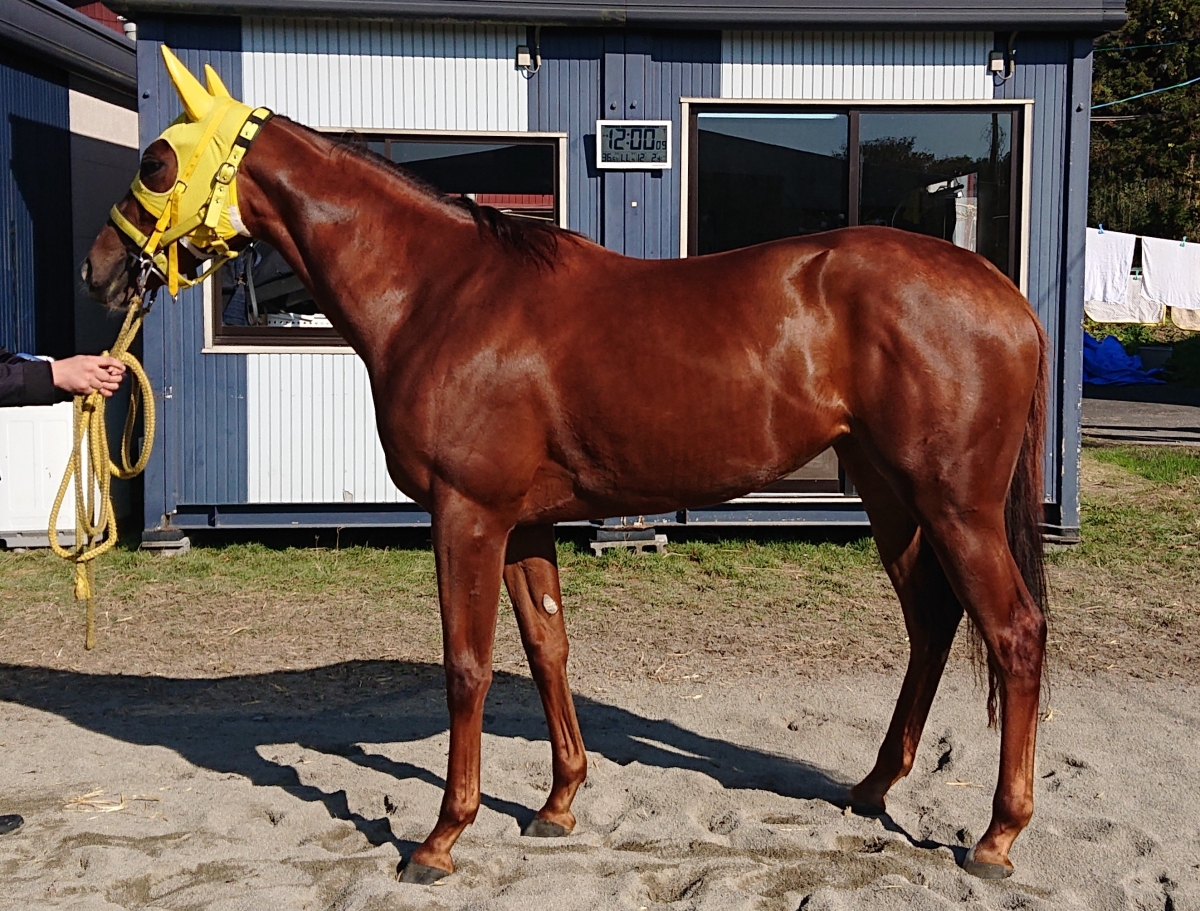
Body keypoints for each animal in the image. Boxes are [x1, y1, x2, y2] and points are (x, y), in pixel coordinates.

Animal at [83, 50, 1048, 884]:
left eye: (158, 161)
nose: (100, 270)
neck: (441, 293)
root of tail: (1006, 295)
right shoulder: (523, 522)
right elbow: (548, 647)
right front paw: (557, 803)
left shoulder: (466, 513)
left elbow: (466, 665)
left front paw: (441, 838)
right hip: (893, 498)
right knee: (932, 624)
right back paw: (873, 787)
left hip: (955, 505)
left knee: (1013, 632)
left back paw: (998, 836)